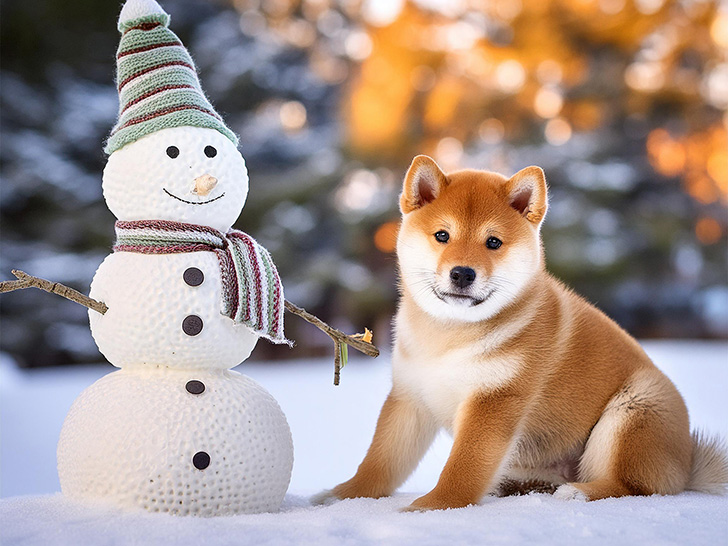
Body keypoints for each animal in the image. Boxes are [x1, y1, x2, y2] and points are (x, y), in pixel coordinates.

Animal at [320, 154, 728, 510]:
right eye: (442, 235)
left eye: (493, 242)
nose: (462, 273)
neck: (450, 336)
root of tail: (685, 463)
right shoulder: (410, 396)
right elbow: (381, 461)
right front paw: (344, 496)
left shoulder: (494, 399)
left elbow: (462, 468)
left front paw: (433, 507)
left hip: (634, 409)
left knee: (635, 485)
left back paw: (579, 493)